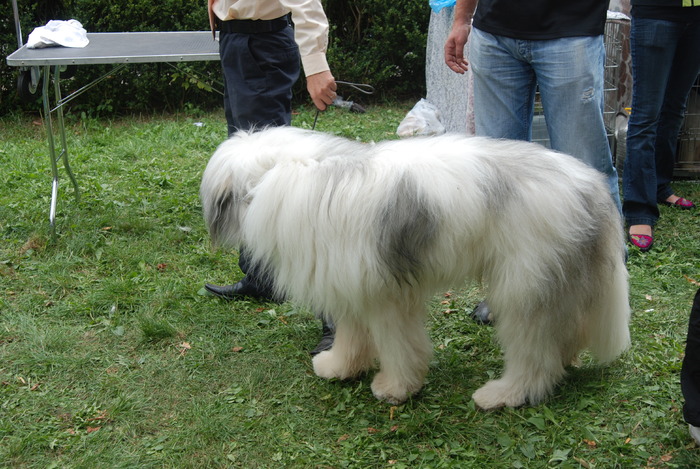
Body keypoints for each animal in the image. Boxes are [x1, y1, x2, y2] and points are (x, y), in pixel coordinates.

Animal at [200, 126, 632, 408]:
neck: (278, 173)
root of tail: (593, 186)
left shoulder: (384, 295)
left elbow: (398, 345)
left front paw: (395, 388)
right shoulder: (350, 286)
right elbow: (351, 336)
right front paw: (339, 367)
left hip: (524, 284)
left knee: (534, 353)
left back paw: (504, 394)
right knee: (565, 331)